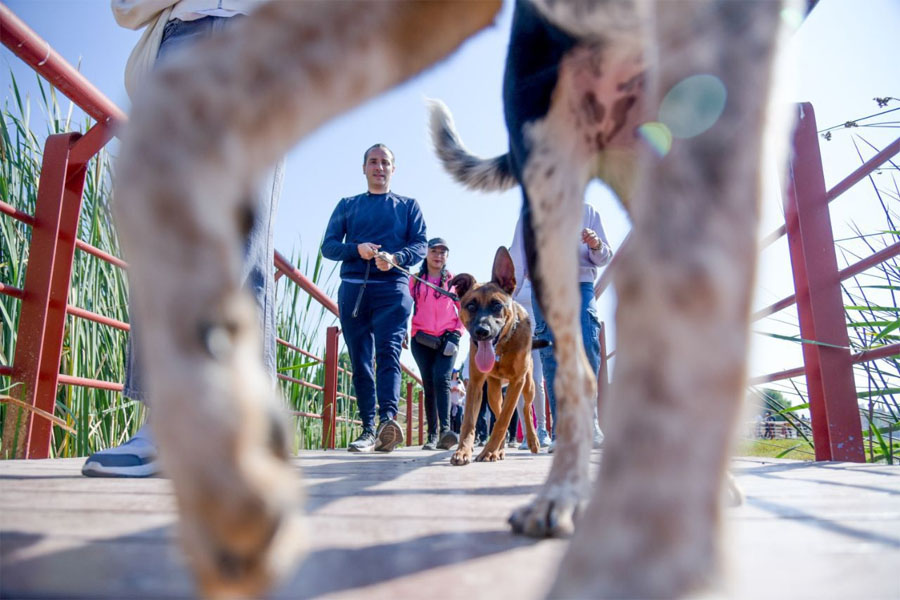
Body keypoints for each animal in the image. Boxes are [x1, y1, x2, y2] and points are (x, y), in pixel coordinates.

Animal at [450, 247, 540, 464]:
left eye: (497, 305)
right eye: (471, 306)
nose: (482, 331)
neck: (501, 348)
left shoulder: (517, 382)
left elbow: (505, 419)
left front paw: (489, 451)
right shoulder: (475, 384)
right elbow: (470, 422)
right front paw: (463, 450)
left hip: (528, 386)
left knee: (524, 410)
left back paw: (532, 441)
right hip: (492, 391)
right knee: (499, 411)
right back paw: (499, 449)